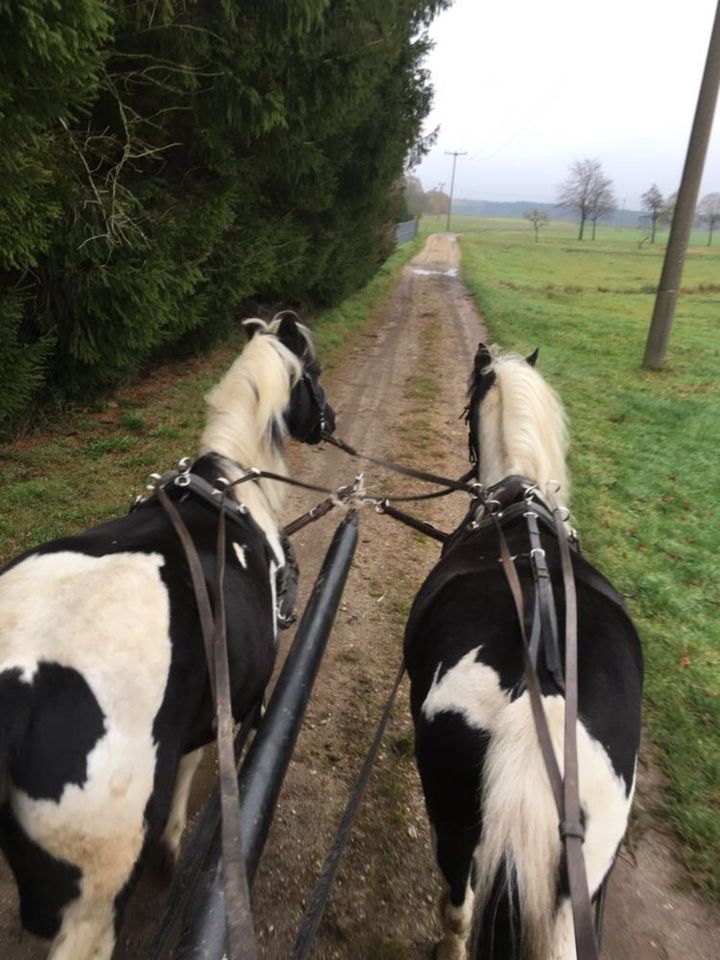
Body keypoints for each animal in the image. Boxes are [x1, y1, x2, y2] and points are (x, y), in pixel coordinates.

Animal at [0, 316, 334, 960]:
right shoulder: (238, 700)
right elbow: (194, 762)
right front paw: (174, 843)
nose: (330, 422)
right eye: (315, 373)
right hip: (91, 906)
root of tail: (17, 692)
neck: (231, 490)